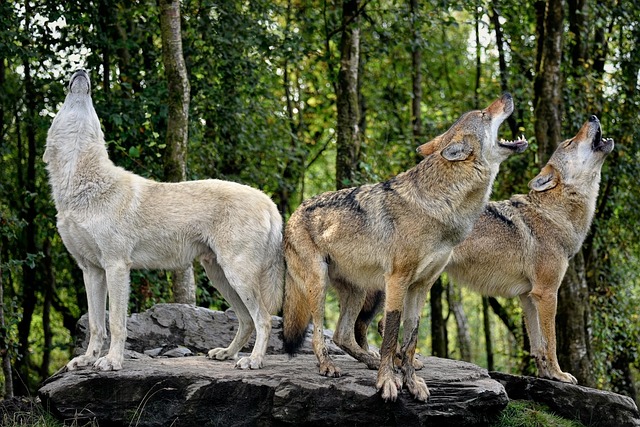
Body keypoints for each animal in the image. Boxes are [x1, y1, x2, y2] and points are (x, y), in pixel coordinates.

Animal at [44, 69, 284, 371]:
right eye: (64, 106)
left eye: (92, 107)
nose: (82, 71)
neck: (83, 187)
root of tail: (268, 201)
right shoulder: (91, 270)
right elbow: (97, 325)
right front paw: (88, 359)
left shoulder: (117, 266)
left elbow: (116, 323)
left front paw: (111, 361)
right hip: (220, 276)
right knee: (245, 320)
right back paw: (227, 353)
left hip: (236, 275)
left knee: (263, 318)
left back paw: (253, 361)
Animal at [282, 93, 527, 402]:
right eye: (484, 114)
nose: (507, 95)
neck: (442, 207)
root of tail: (292, 213)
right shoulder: (397, 280)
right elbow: (390, 335)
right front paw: (388, 381)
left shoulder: (422, 286)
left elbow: (410, 338)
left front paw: (411, 381)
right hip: (319, 284)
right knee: (318, 333)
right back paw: (328, 365)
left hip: (358, 291)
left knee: (342, 335)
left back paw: (369, 360)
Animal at [355, 115, 613, 385]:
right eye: (570, 142)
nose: (593, 117)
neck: (553, 214)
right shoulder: (547, 293)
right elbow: (550, 342)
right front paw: (559, 374)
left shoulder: (528, 296)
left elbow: (537, 344)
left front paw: (544, 374)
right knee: (382, 323)